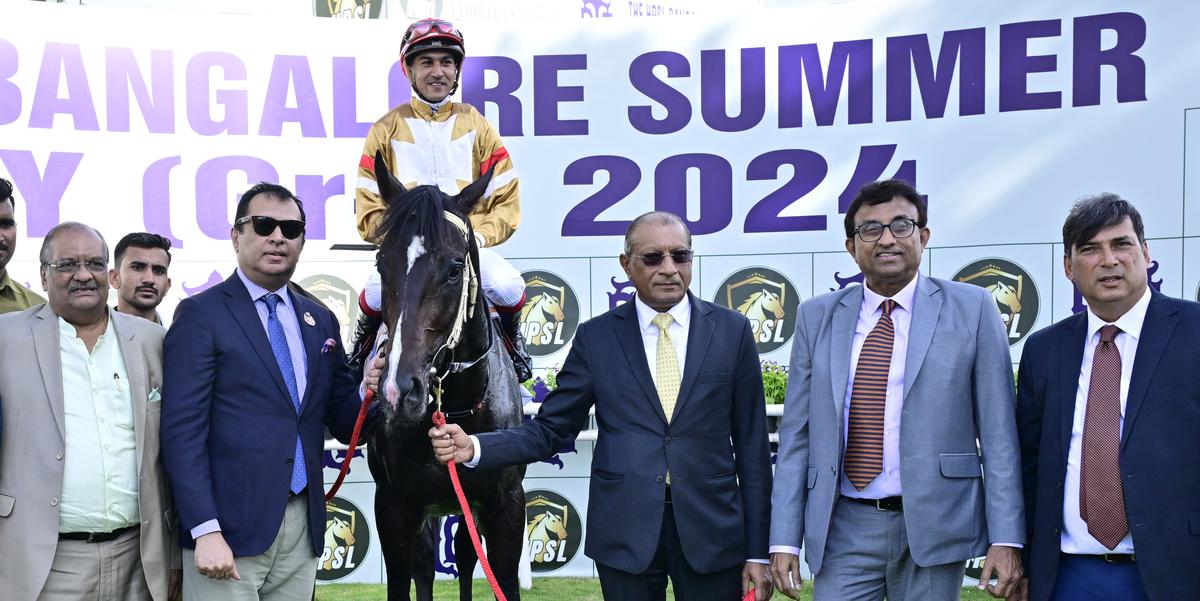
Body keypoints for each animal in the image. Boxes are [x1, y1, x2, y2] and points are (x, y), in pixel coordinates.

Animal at [364, 151, 525, 599]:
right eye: (381, 264)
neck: (456, 407)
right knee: (426, 561)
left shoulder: (506, 506)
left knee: (466, 557)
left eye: (455, 269)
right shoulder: (394, 507)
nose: (399, 391)